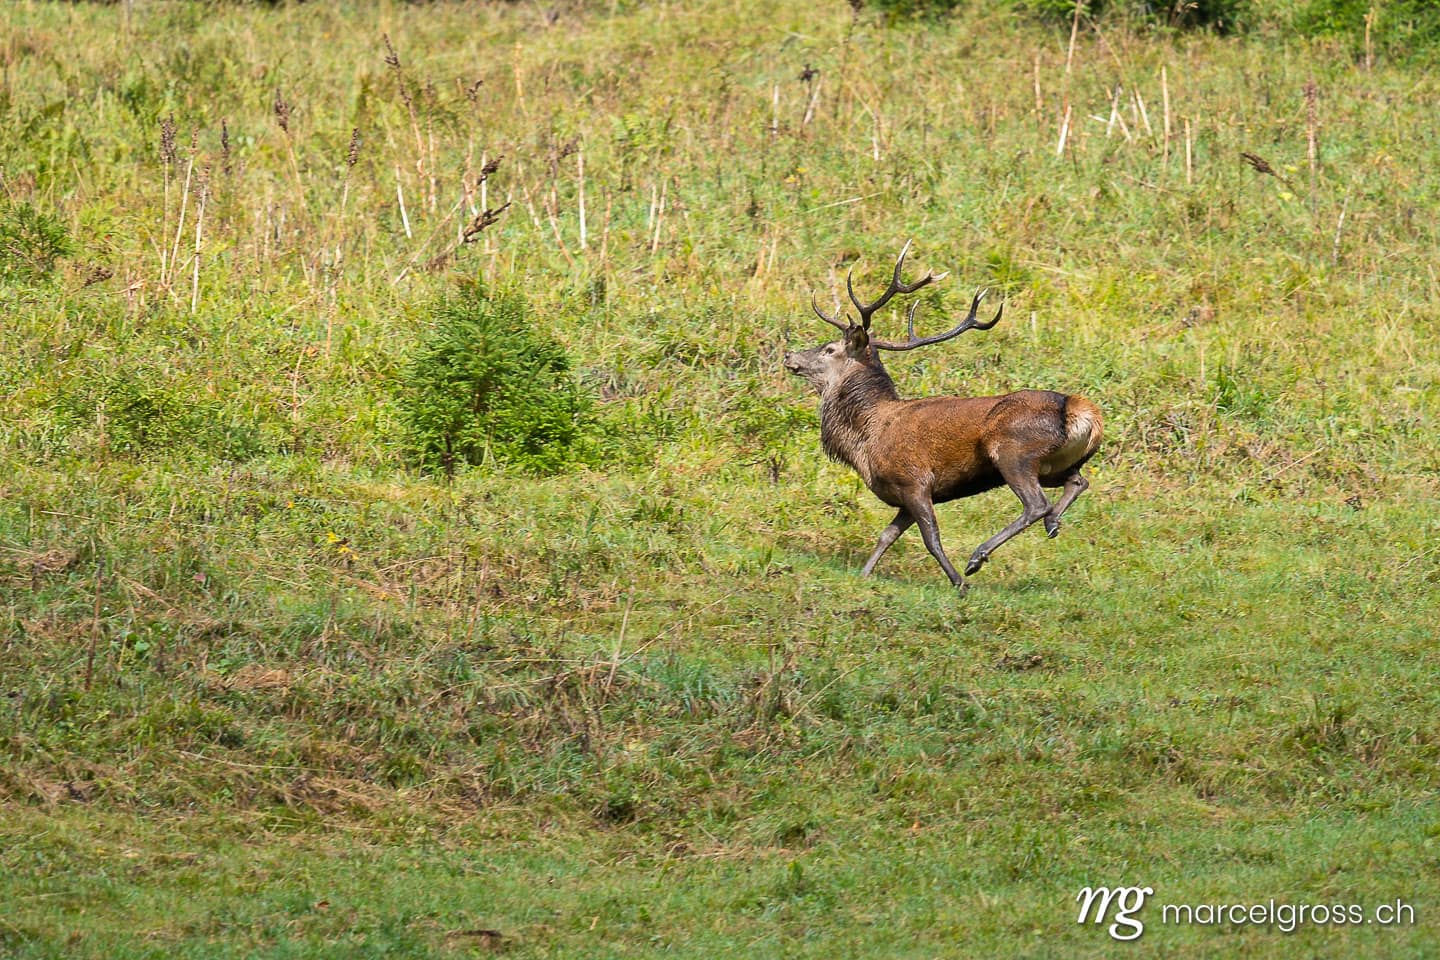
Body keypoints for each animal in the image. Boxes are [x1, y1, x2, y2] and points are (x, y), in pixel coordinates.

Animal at [782, 241, 1103, 590]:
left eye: (829, 349)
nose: (790, 355)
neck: (865, 441)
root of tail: (1080, 409)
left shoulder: (913, 480)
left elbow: (931, 538)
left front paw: (958, 582)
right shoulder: (903, 496)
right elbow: (886, 535)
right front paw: (864, 575)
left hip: (1013, 451)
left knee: (1036, 503)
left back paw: (978, 557)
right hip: (1055, 464)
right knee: (1078, 481)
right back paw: (1053, 524)